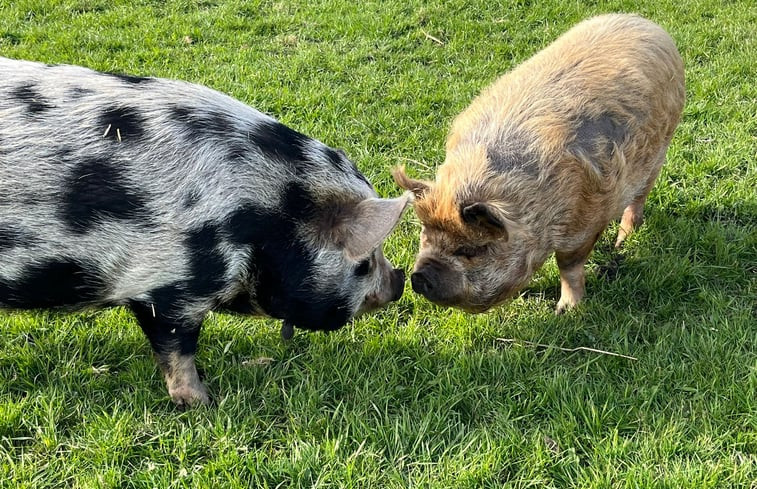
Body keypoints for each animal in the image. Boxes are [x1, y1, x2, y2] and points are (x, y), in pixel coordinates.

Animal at [0, 57, 410, 406]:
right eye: (364, 263)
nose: (400, 280)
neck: (265, 222)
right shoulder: (169, 285)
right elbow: (176, 347)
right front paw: (203, 402)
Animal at [392, 15, 684, 314]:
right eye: (425, 234)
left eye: (470, 251)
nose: (419, 276)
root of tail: (645, 23)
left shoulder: (583, 223)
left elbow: (568, 267)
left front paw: (565, 311)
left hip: (661, 147)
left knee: (639, 197)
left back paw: (621, 241)